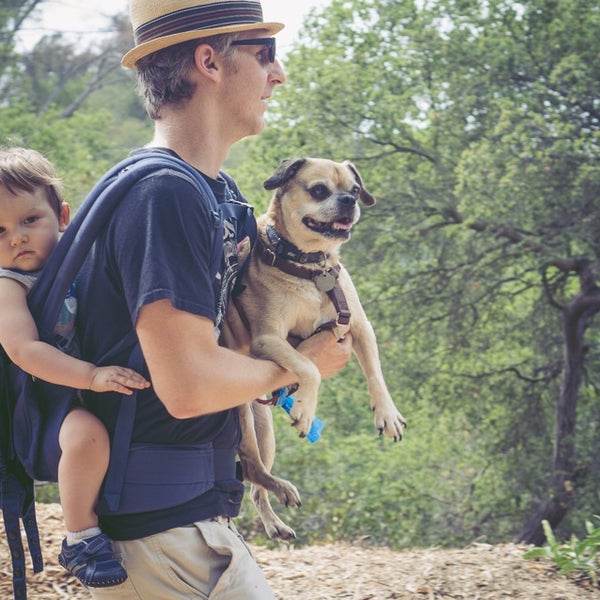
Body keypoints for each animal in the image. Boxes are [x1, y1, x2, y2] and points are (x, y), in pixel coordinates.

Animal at [234, 158, 408, 540]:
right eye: (318, 190)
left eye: (355, 189)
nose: (349, 201)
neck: (311, 266)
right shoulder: (269, 338)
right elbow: (309, 366)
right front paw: (304, 409)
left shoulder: (359, 326)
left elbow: (376, 373)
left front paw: (387, 414)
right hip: (245, 421)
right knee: (250, 468)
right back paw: (282, 490)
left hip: (265, 432)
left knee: (254, 485)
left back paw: (275, 522)